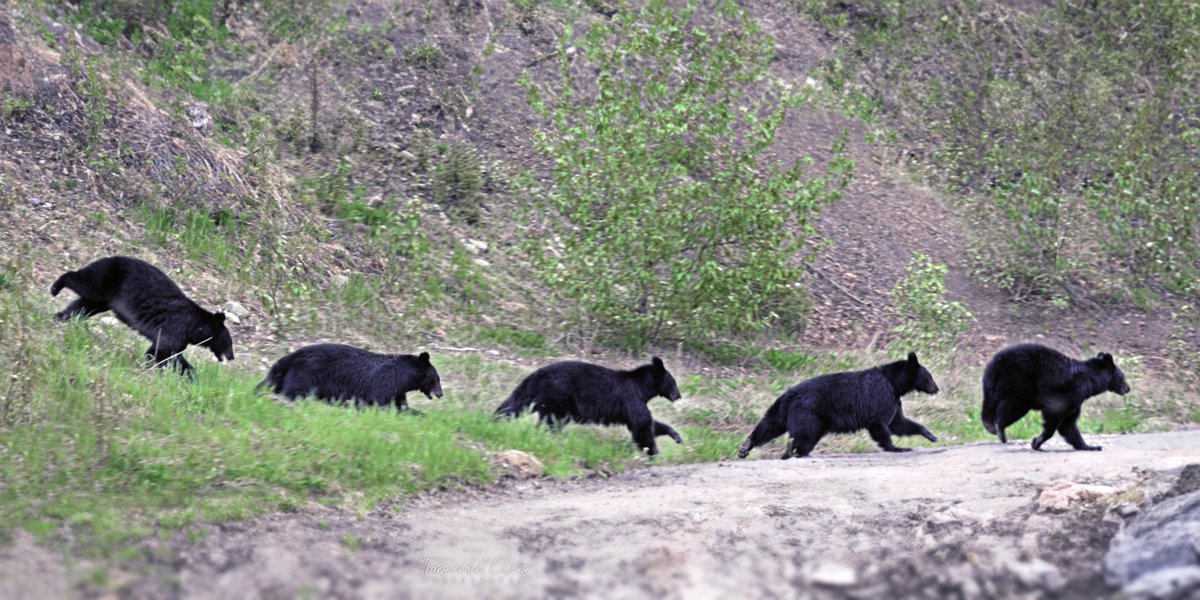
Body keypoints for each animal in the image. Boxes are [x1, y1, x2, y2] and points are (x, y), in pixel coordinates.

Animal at [50, 255, 234, 376]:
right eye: (229, 342)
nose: (232, 357)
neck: (196, 328)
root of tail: (112, 256)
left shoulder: (175, 335)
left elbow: (163, 351)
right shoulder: (176, 328)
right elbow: (165, 353)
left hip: (104, 299)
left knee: (83, 306)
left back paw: (60, 316)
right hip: (107, 277)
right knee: (85, 283)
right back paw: (55, 288)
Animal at [261, 344, 443, 411]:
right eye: (435, 377)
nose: (441, 393)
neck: (401, 377)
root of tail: (293, 355)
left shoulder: (397, 391)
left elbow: (400, 405)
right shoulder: (382, 385)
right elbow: (376, 403)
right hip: (305, 374)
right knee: (294, 391)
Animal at [494, 357, 683, 456]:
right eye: (673, 382)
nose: (679, 395)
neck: (642, 388)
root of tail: (538, 374)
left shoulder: (634, 403)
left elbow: (649, 423)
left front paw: (676, 436)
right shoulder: (632, 399)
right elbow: (642, 424)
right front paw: (654, 452)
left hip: (539, 396)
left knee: (514, 403)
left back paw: (496, 418)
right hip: (559, 396)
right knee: (551, 421)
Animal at [737, 352, 940, 460]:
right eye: (929, 376)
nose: (936, 388)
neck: (894, 383)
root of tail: (789, 394)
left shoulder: (894, 401)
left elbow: (898, 423)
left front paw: (930, 435)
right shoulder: (883, 397)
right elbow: (881, 425)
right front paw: (896, 447)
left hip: (785, 409)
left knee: (769, 424)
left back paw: (746, 447)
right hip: (809, 414)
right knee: (803, 435)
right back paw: (795, 453)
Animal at [981, 343, 1131, 451]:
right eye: (1122, 376)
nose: (1128, 388)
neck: (1090, 381)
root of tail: (997, 363)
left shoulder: (1077, 401)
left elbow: (1068, 424)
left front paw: (1090, 446)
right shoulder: (1071, 393)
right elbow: (1055, 415)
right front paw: (1037, 442)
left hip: (991, 384)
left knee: (989, 405)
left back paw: (990, 425)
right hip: (1019, 382)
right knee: (1013, 407)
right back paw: (999, 429)